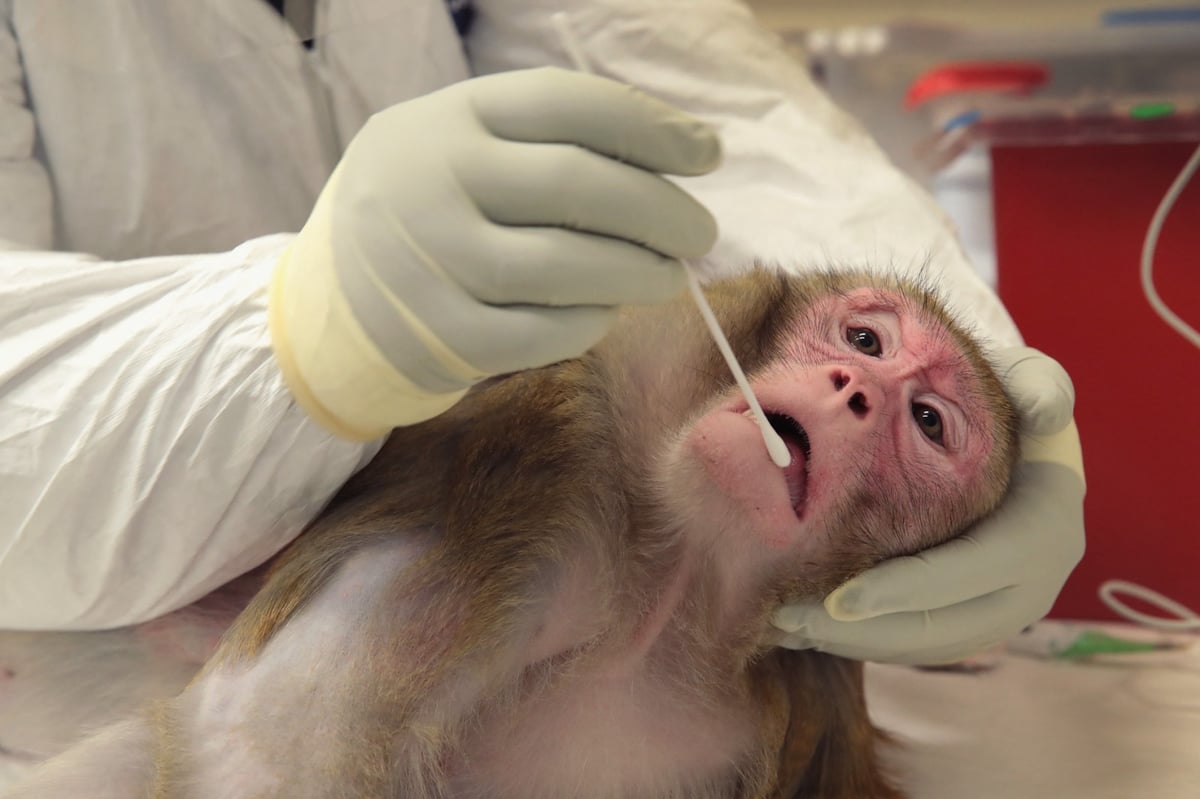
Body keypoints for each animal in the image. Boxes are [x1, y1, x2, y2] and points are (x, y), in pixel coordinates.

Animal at [1, 267, 1020, 799]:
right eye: (865, 341)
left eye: (927, 422)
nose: (856, 393)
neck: (675, 580)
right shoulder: (547, 478)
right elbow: (259, 757)